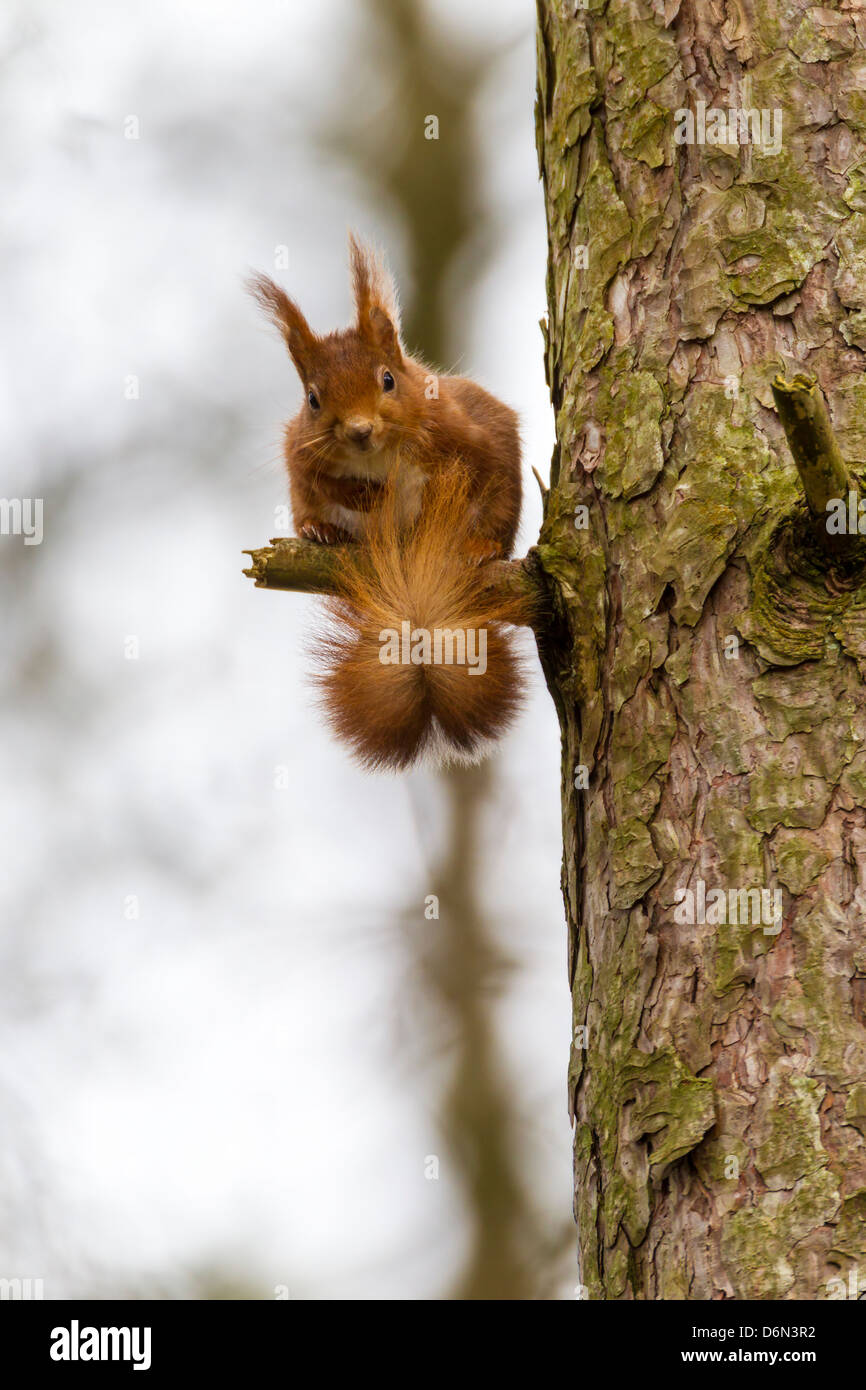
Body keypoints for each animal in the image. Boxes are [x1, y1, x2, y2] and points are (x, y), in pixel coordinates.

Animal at [247, 232, 525, 767]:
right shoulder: (300, 450)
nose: (359, 430)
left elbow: (491, 480)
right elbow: (318, 480)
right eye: (313, 399)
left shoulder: (475, 435)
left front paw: (477, 539)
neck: (378, 456)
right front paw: (358, 495)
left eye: (388, 380)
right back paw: (322, 530)